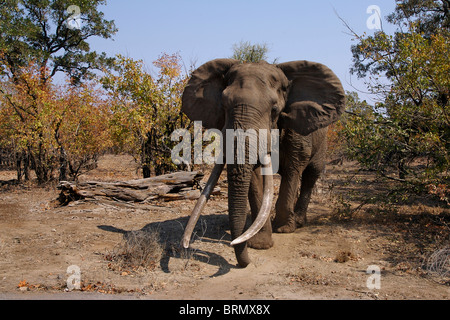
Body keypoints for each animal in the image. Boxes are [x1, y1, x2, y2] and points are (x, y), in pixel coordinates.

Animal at [179, 58, 344, 268]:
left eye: (274, 110)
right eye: (223, 106)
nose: (243, 261)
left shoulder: (296, 132)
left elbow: (292, 170)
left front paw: (283, 229)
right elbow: (255, 178)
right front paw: (259, 244)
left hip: (321, 140)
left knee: (310, 174)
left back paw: (298, 222)